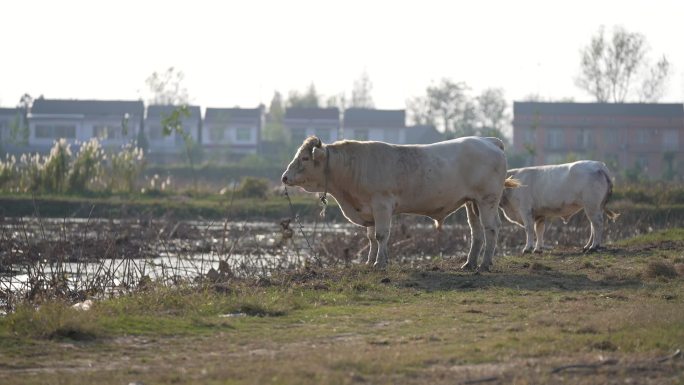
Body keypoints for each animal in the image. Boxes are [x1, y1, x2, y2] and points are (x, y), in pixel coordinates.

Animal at [280, 135, 520, 270]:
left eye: (304, 158)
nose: (284, 177)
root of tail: (488, 141)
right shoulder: (369, 210)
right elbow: (371, 238)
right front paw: (370, 262)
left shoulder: (382, 204)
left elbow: (381, 235)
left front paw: (379, 263)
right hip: (472, 203)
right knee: (476, 231)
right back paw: (469, 263)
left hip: (487, 199)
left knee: (491, 228)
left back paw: (485, 264)